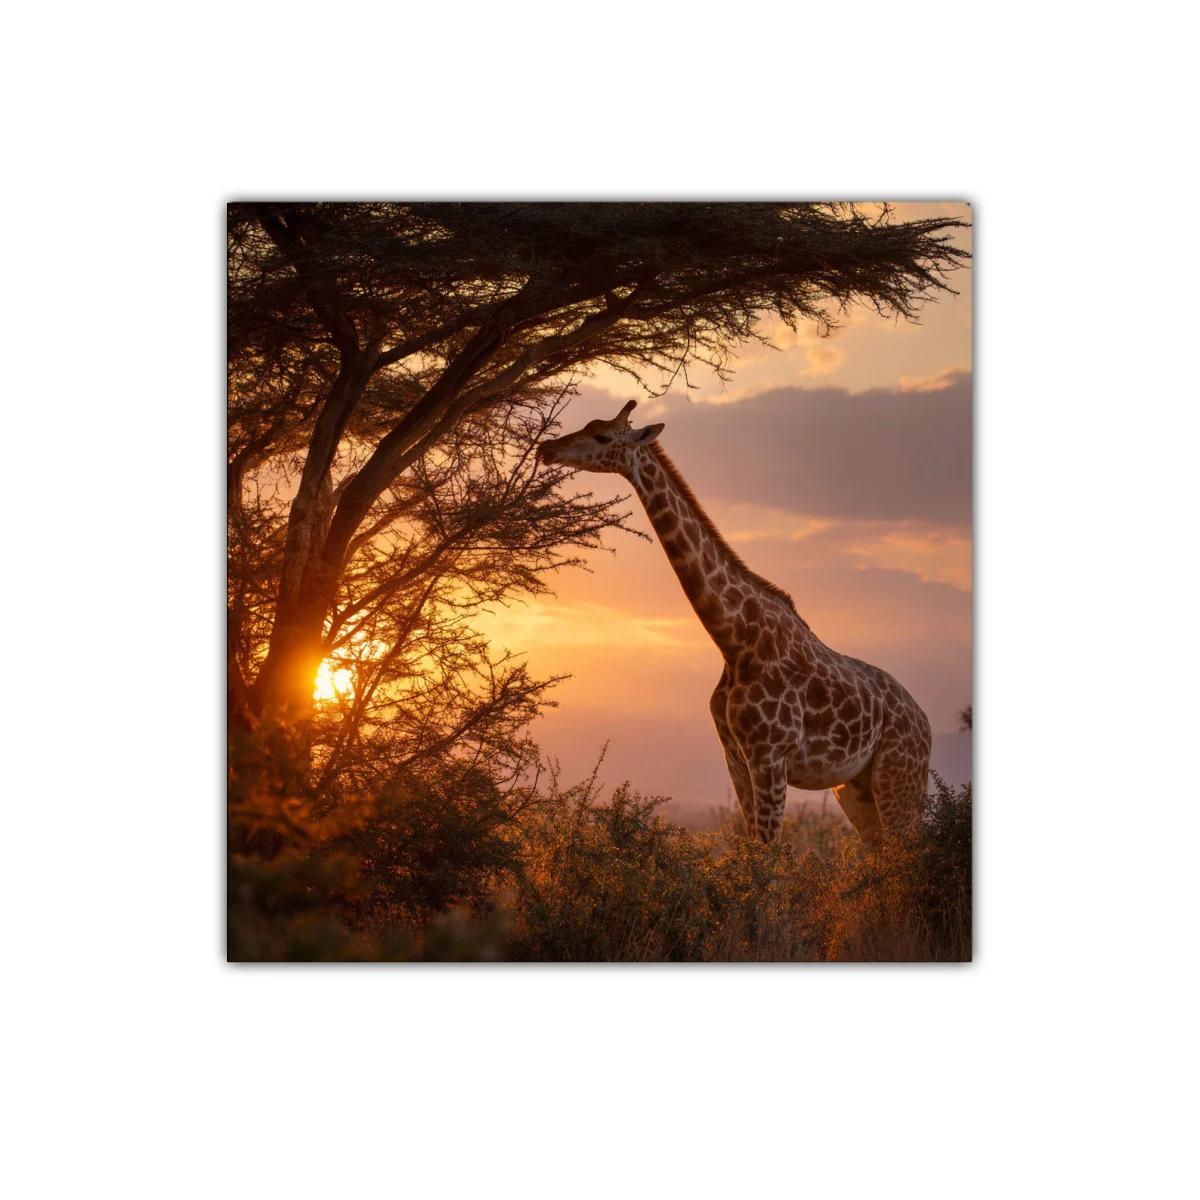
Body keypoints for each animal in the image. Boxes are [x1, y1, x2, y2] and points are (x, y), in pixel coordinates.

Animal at [538, 399, 932, 846]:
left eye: (603, 436)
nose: (547, 449)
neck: (734, 640)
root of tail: (926, 725)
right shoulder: (735, 757)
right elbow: (750, 847)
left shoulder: (770, 757)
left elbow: (766, 851)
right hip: (854, 785)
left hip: (898, 778)